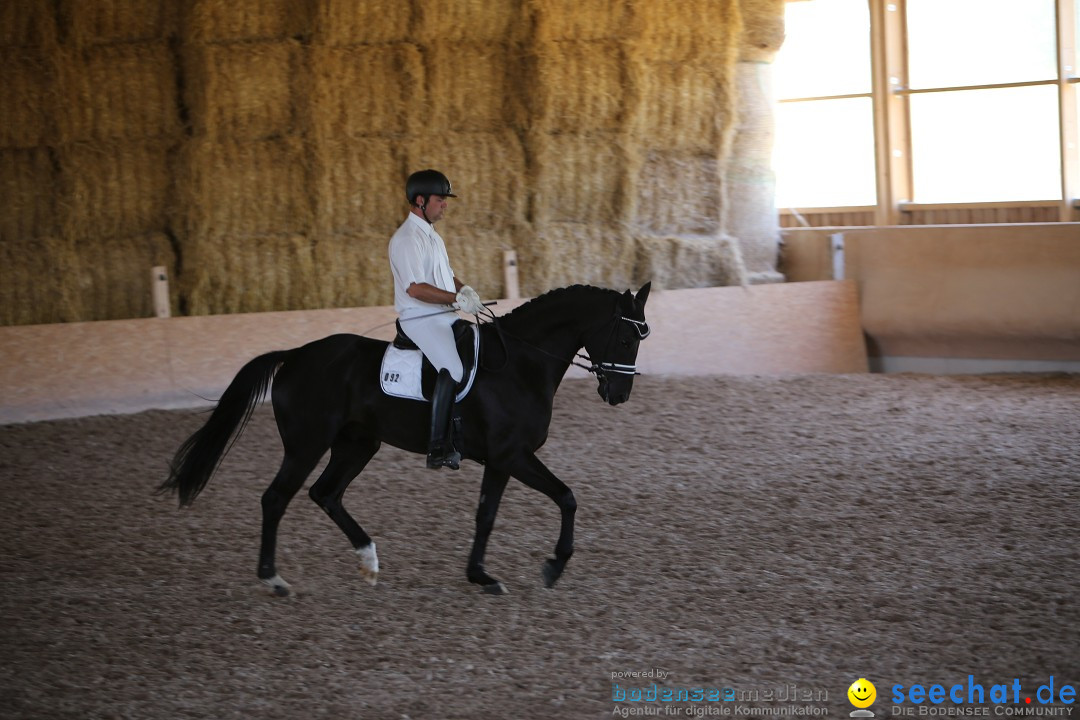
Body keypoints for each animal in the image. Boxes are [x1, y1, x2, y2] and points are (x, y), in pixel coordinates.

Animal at [158, 284, 648, 595]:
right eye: (626, 338)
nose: (619, 394)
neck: (520, 364)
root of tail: (295, 355)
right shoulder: (513, 455)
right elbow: (564, 497)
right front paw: (551, 566)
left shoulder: (501, 459)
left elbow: (488, 515)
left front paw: (481, 576)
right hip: (307, 444)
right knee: (277, 498)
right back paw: (273, 579)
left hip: (358, 444)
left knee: (326, 493)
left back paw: (369, 560)